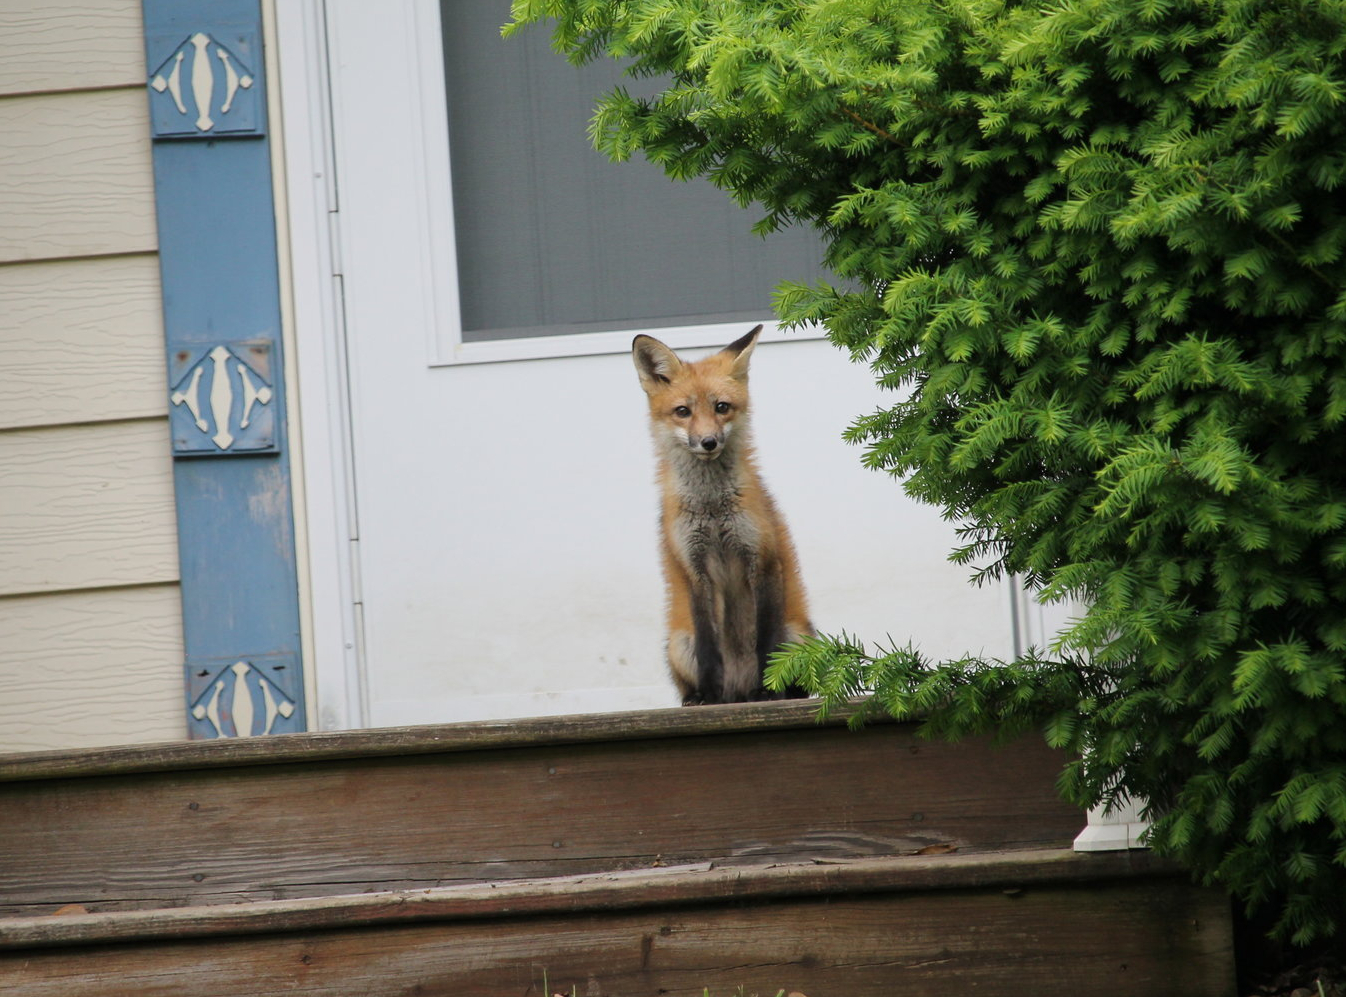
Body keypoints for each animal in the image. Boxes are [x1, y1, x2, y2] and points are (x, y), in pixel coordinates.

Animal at [632, 324, 812, 705]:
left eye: (722, 407)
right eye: (682, 411)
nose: (709, 442)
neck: (712, 508)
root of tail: (738, 691)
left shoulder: (763, 559)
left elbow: (766, 639)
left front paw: (768, 690)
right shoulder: (695, 570)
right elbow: (708, 645)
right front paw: (708, 695)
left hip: (798, 637)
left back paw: (782, 691)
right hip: (678, 644)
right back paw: (700, 697)